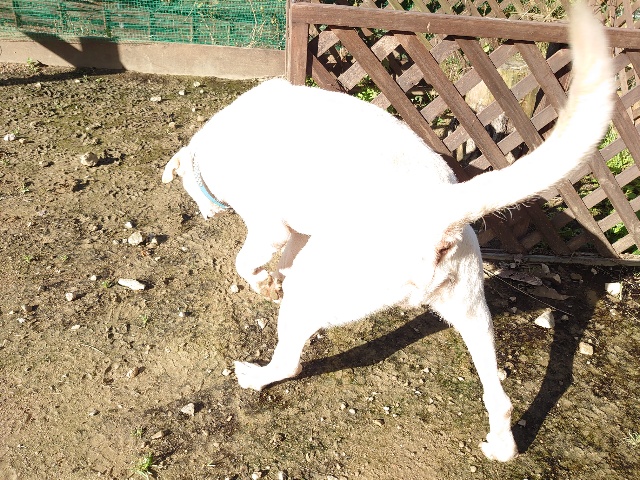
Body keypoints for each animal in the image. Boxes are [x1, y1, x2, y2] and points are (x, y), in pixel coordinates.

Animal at [162, 4, 613, 462]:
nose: (202, 212)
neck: (209, 149)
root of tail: (440, 209)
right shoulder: (299, 232)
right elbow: (286, 256)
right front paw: (275, 279)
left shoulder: (269, 225)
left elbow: (248, 262)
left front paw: (265, 284)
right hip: (469, 307)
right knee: (499, 396)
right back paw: (502, 446)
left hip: (321, 290)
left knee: (291, 361)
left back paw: (256, 375)